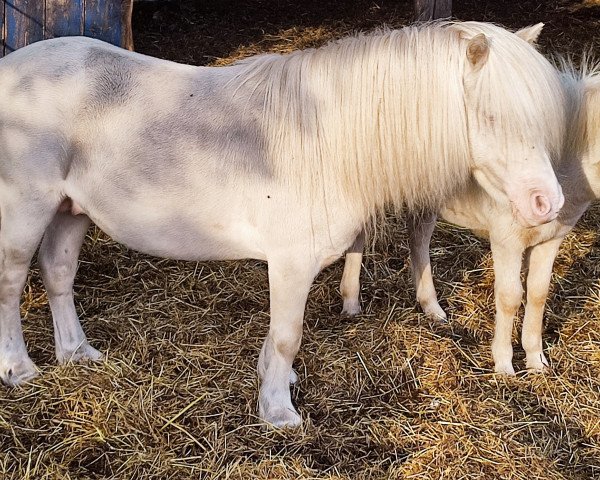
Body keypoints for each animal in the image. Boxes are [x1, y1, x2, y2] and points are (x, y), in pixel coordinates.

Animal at [0, 22, 564, 428]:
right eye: (490, 117)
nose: (548, 203)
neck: (324, 137)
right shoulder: (291, 263)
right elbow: (289, 334)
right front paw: (278, 413)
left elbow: (278, 338)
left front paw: (279, 383)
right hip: (26, 210)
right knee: (12, 284)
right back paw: (21, 370)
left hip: (70, 210)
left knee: (57, 276)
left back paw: (77, 355)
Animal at [342, 58, 600, 376]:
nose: (546, 204)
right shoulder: (506, 240)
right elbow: (510, 297)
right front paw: (504, 365)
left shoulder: (550, 240)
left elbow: (538, 293)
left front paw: (536, 362)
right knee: (360, 235)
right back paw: (351, 302)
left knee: (417, 239)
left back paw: (433, 308)